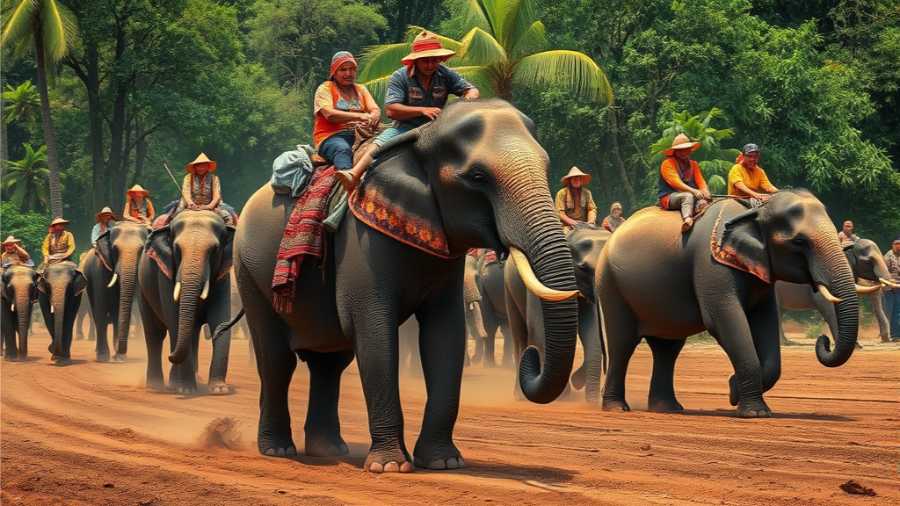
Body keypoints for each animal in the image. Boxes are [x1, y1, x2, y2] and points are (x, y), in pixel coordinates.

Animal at [81, 221, 149, 362]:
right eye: (115, 249)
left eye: (142, 249)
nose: (119, 351)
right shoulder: (99, 271)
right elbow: (101, 309)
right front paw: (103, 357)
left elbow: (119, 311)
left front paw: (119, 357)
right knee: (96, 314)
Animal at [138, 210, 234, 394]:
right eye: (177, 249)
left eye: (214, 250)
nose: (170, 357)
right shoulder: (165, 273)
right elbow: (174, 320)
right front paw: (186, 390)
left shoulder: (223, 276)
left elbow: (220, 320)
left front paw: (219, 390)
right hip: (143, 291)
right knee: (155, 333)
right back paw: (158, 386)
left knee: (191, 332)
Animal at [233, 100, 580, 472]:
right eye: (477, 177)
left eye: (546, 167)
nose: (532, 355)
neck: (421, 138)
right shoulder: (361, 239)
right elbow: (372, 328)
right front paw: (389, 467)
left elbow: (445, 334)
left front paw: (443, 462)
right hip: (248, 272)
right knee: (277, 359)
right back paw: (278, 450)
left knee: (330, 362)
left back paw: (328, 450)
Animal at [505, 224, 609, 403]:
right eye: (583, 268)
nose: (599, 398)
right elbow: (538, 328)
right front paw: (563, 395)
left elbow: (591, 331)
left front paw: (576, 383)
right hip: (508, 287)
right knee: (519, 334)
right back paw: (519, 395)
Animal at [596, 191, 859, 418]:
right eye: (800, 242)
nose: (824, 340)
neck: (756, 209)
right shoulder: (712, 265)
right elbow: (722, 319)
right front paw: (753, 412)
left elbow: (766, 321)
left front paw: (735, 392)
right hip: (611, 286)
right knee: (622, 344)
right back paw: (617, 408)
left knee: (667, 348)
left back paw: (668, 408)